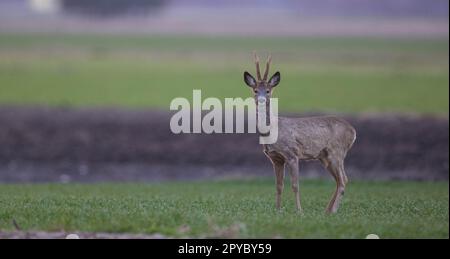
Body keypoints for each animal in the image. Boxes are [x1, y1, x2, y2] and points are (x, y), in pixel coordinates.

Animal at [244, 52, 356, 213]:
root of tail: (353, 131)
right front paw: (278, 210)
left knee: (343, 179)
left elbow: (295, 185)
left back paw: (332, 211)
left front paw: (299, 211)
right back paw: (327, 211)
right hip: (324, 156)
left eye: (268, 91)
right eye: (255, 90)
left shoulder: (292, 154)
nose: (261, 100)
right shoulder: (276, 159)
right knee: (338, 180)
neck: (273, 130)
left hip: (337, 151)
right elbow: (279, 186)